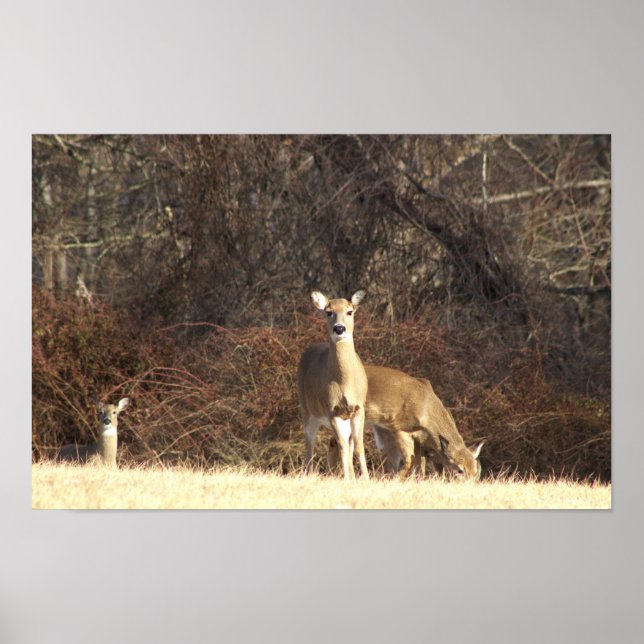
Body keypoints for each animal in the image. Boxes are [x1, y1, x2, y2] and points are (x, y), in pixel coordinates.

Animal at [297, 290, 369, 480]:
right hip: (308, 410)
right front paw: (347, 479)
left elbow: (358, 446)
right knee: (310, 444)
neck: (344, 383)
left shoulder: (359, 408)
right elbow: (343, 446)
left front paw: (364, 479)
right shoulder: (331, 409)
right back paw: (310, 475)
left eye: (350, 311)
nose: (339, 328)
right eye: (328, 312)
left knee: (342, 445)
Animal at [327, 366, 484, 479]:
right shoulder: (398, 428)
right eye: (459, 470)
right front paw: (396, 480)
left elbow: (420, 465)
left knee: (335, 442)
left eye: (476, 471)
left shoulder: (421, 443)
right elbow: (409, 461)